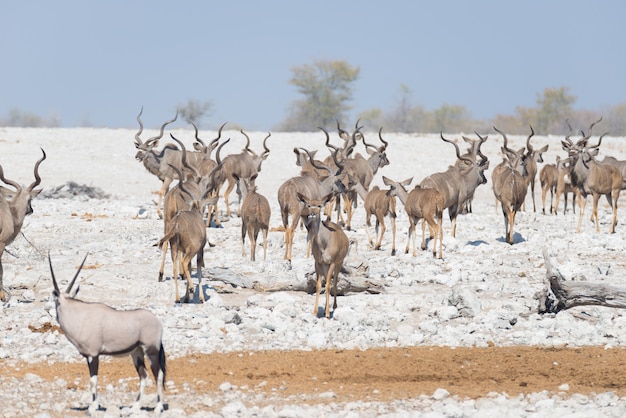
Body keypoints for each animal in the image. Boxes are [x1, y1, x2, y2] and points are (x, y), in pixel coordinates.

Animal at [48, 253, 166, 414]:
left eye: (55, 302)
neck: (79, 316)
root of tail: (158, 322)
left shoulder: (93, 355)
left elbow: (93, 380)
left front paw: (93, 407)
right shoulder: (88, 356)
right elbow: (92, 379)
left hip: (151, 351)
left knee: (158, 375)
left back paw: (158, 408)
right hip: (137, 352)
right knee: (143, 376)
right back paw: (135, 407)